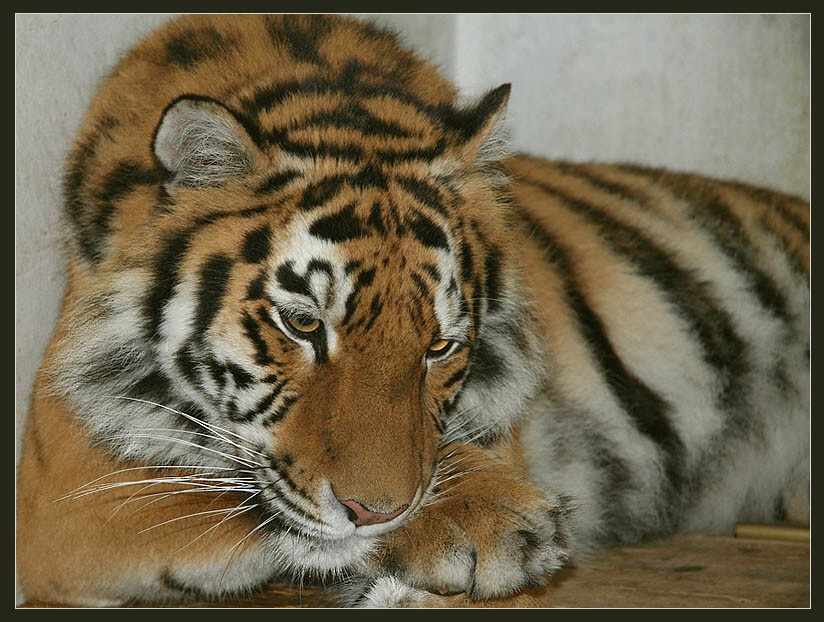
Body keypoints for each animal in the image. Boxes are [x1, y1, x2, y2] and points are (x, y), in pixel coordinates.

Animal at [16, 14, 809, 608]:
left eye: (439, 347)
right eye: (304, 324)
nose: (380, 512)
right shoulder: (64, 488)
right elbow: (226, 497)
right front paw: (489, 526)